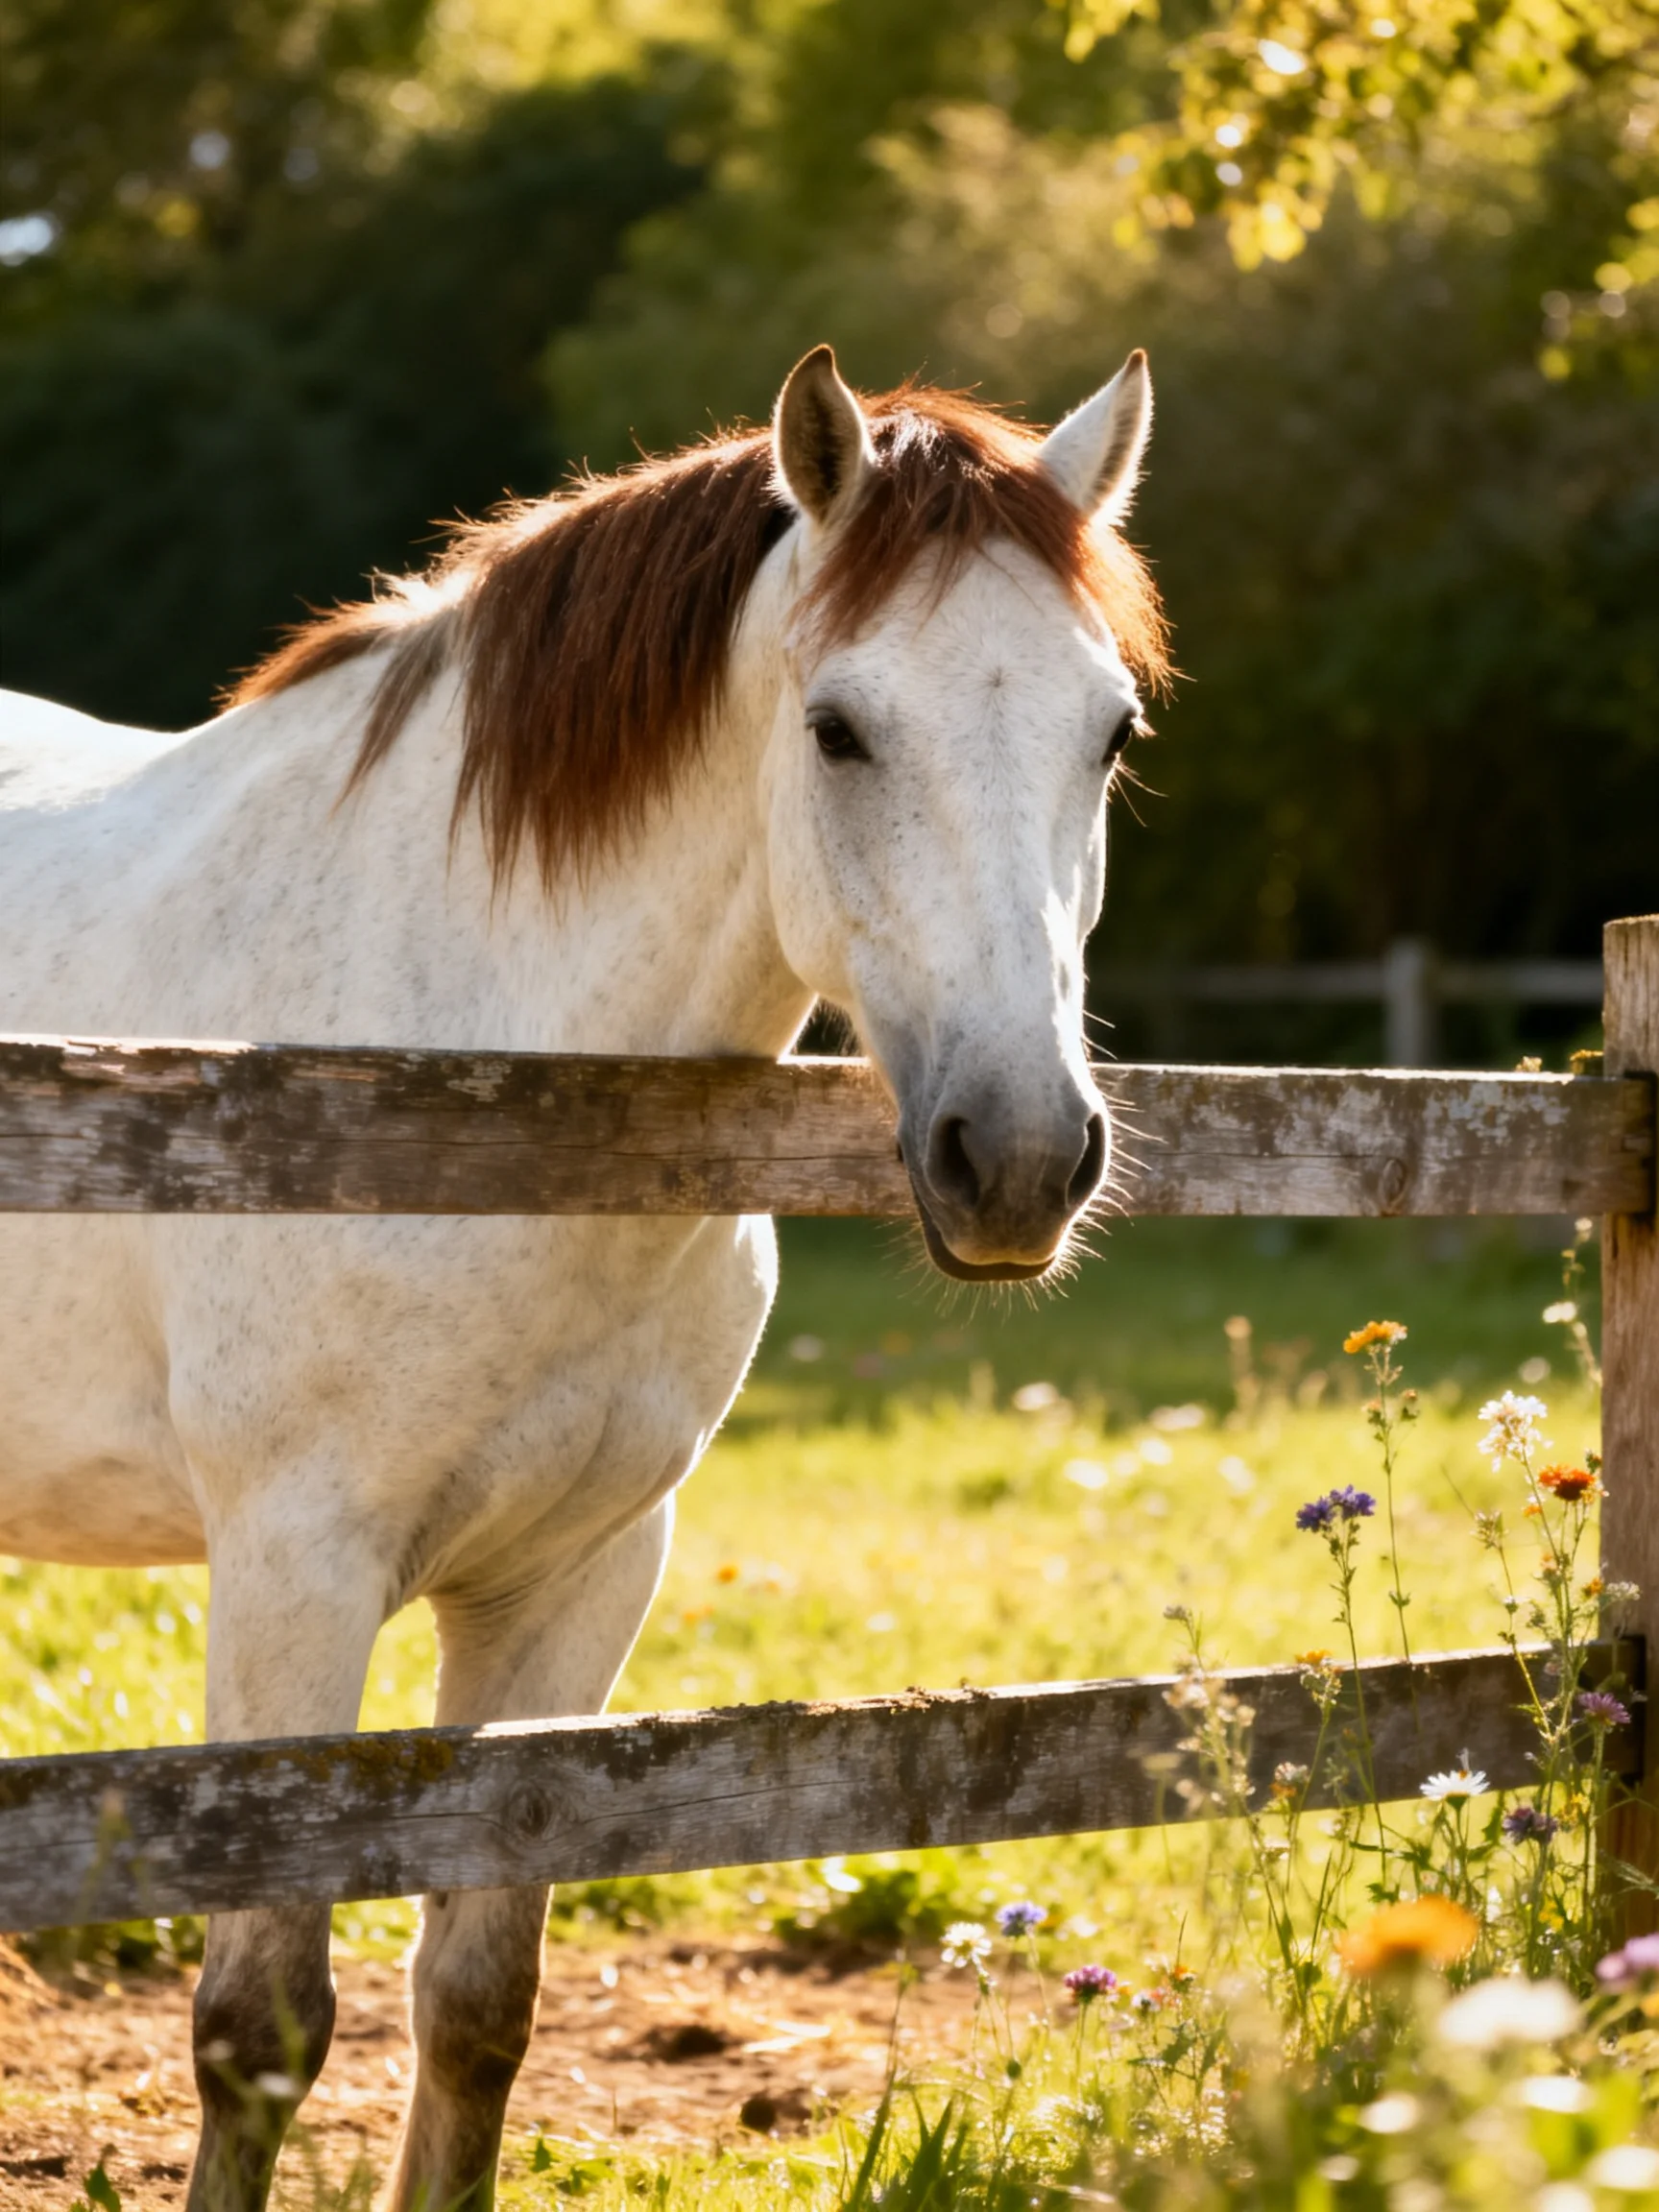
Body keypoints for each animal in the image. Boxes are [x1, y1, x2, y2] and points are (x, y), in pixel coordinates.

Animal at [0, 345, 1165, 2210]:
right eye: (839, 726)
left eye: (1108, 732)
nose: (1020, 1154)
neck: (474, 1083)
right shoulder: (293, 1571)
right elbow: (259, 2021)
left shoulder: (580, 1576)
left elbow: (477, 1997)